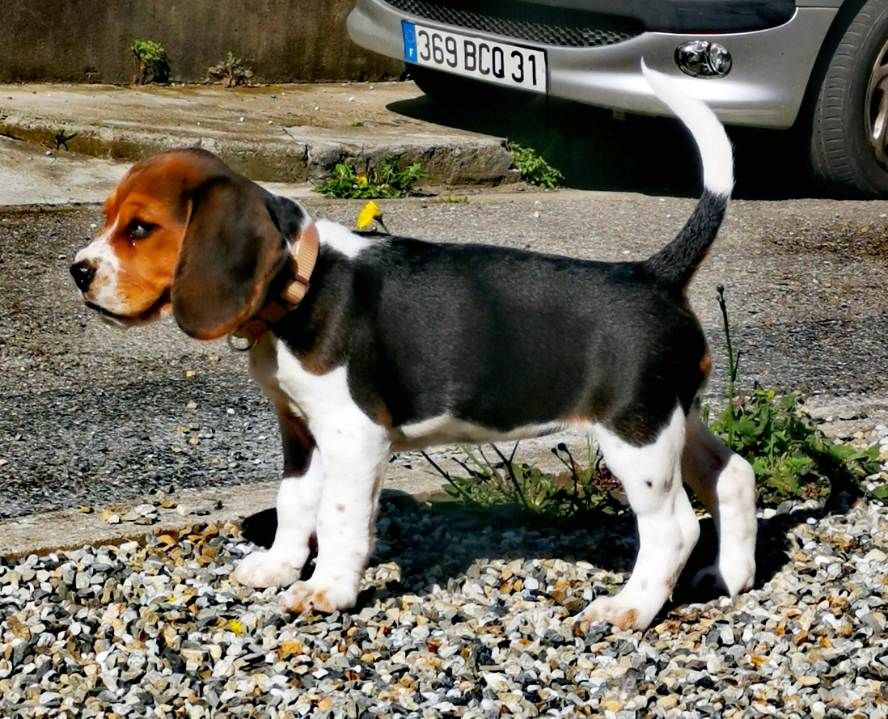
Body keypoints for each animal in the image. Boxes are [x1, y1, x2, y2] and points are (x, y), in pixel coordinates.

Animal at [70, 63, 756, 631]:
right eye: (108, 218)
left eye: (140, 229)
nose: (77, 271)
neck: (301, 285)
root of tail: (654, 273)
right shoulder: (301, 428)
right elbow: (295, 504)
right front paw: (277, 568)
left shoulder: (354, 435)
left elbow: (337, 516)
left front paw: (327, 591)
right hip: (669, 415)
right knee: (732, 474)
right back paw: (730, 577)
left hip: (634, 435)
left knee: (671, 528)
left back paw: (630, 608)